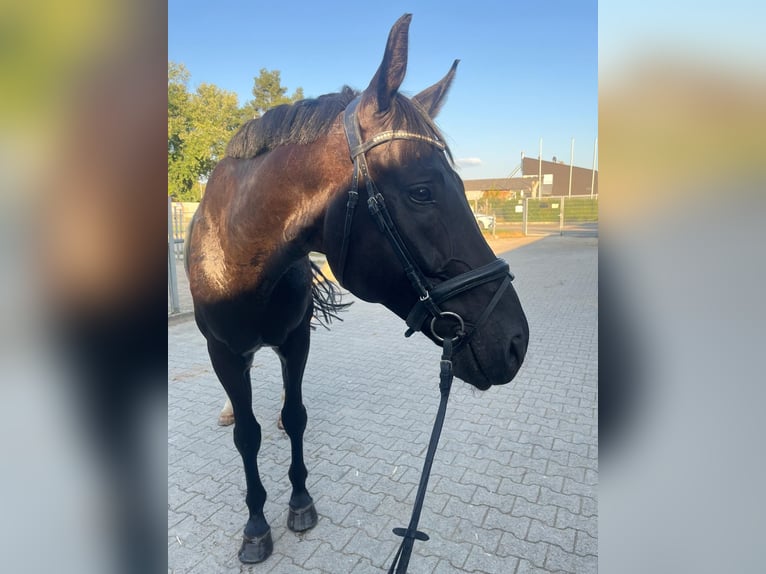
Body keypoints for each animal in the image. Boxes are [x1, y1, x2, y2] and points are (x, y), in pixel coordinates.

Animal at [189, 14, 532, 568]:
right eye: (421, 191)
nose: (516, 342)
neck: (243, 258)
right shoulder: (223, 352)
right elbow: (247, 436)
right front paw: (256, 525)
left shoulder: (297, 341)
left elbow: (295, 415)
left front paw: (300, 500)